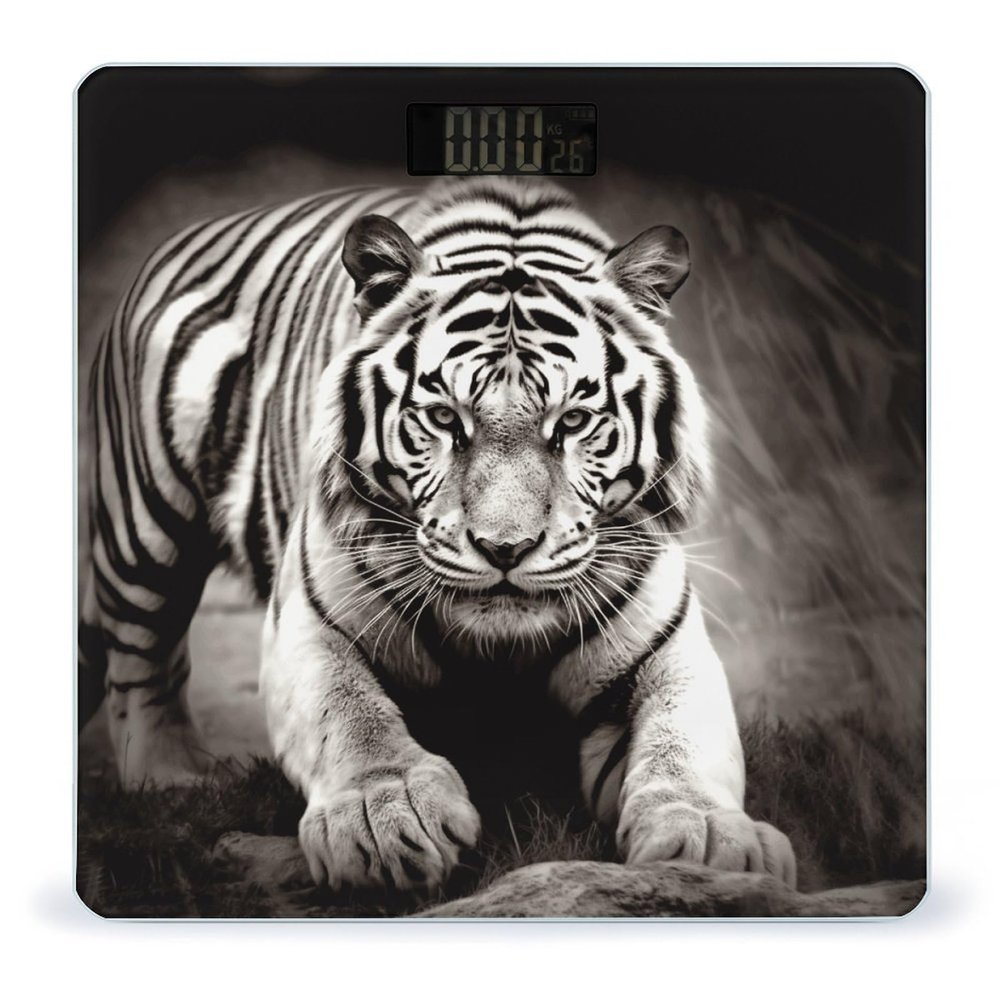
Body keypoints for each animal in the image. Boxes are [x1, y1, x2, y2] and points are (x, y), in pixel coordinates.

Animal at [79, 175, 796, 893]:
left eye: (573, 421)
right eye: (446, 418)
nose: (505, 548)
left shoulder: (665, 649)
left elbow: (685, 734)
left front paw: (709, 840)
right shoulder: (309, 620)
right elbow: (349, 714)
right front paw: (384, 818)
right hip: (143, 526)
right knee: (142, 662)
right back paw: (173, 777)